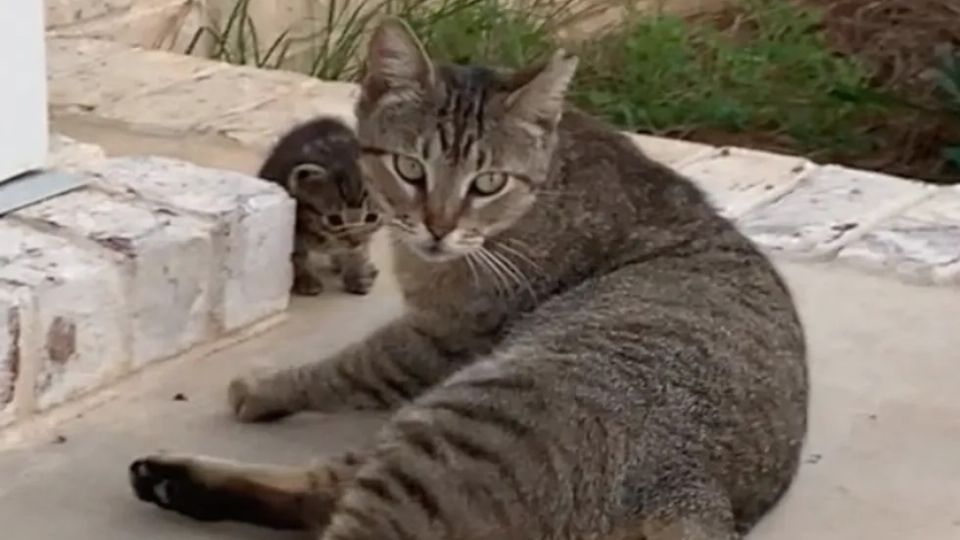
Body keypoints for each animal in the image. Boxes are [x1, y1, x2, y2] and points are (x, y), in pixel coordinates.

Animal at [260, 116, 384, 298]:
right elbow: (297, 254)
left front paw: (357, 274)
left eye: (371, 217)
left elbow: (359, 251)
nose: (354, 240)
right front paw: (306, 279)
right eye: (334, 220)